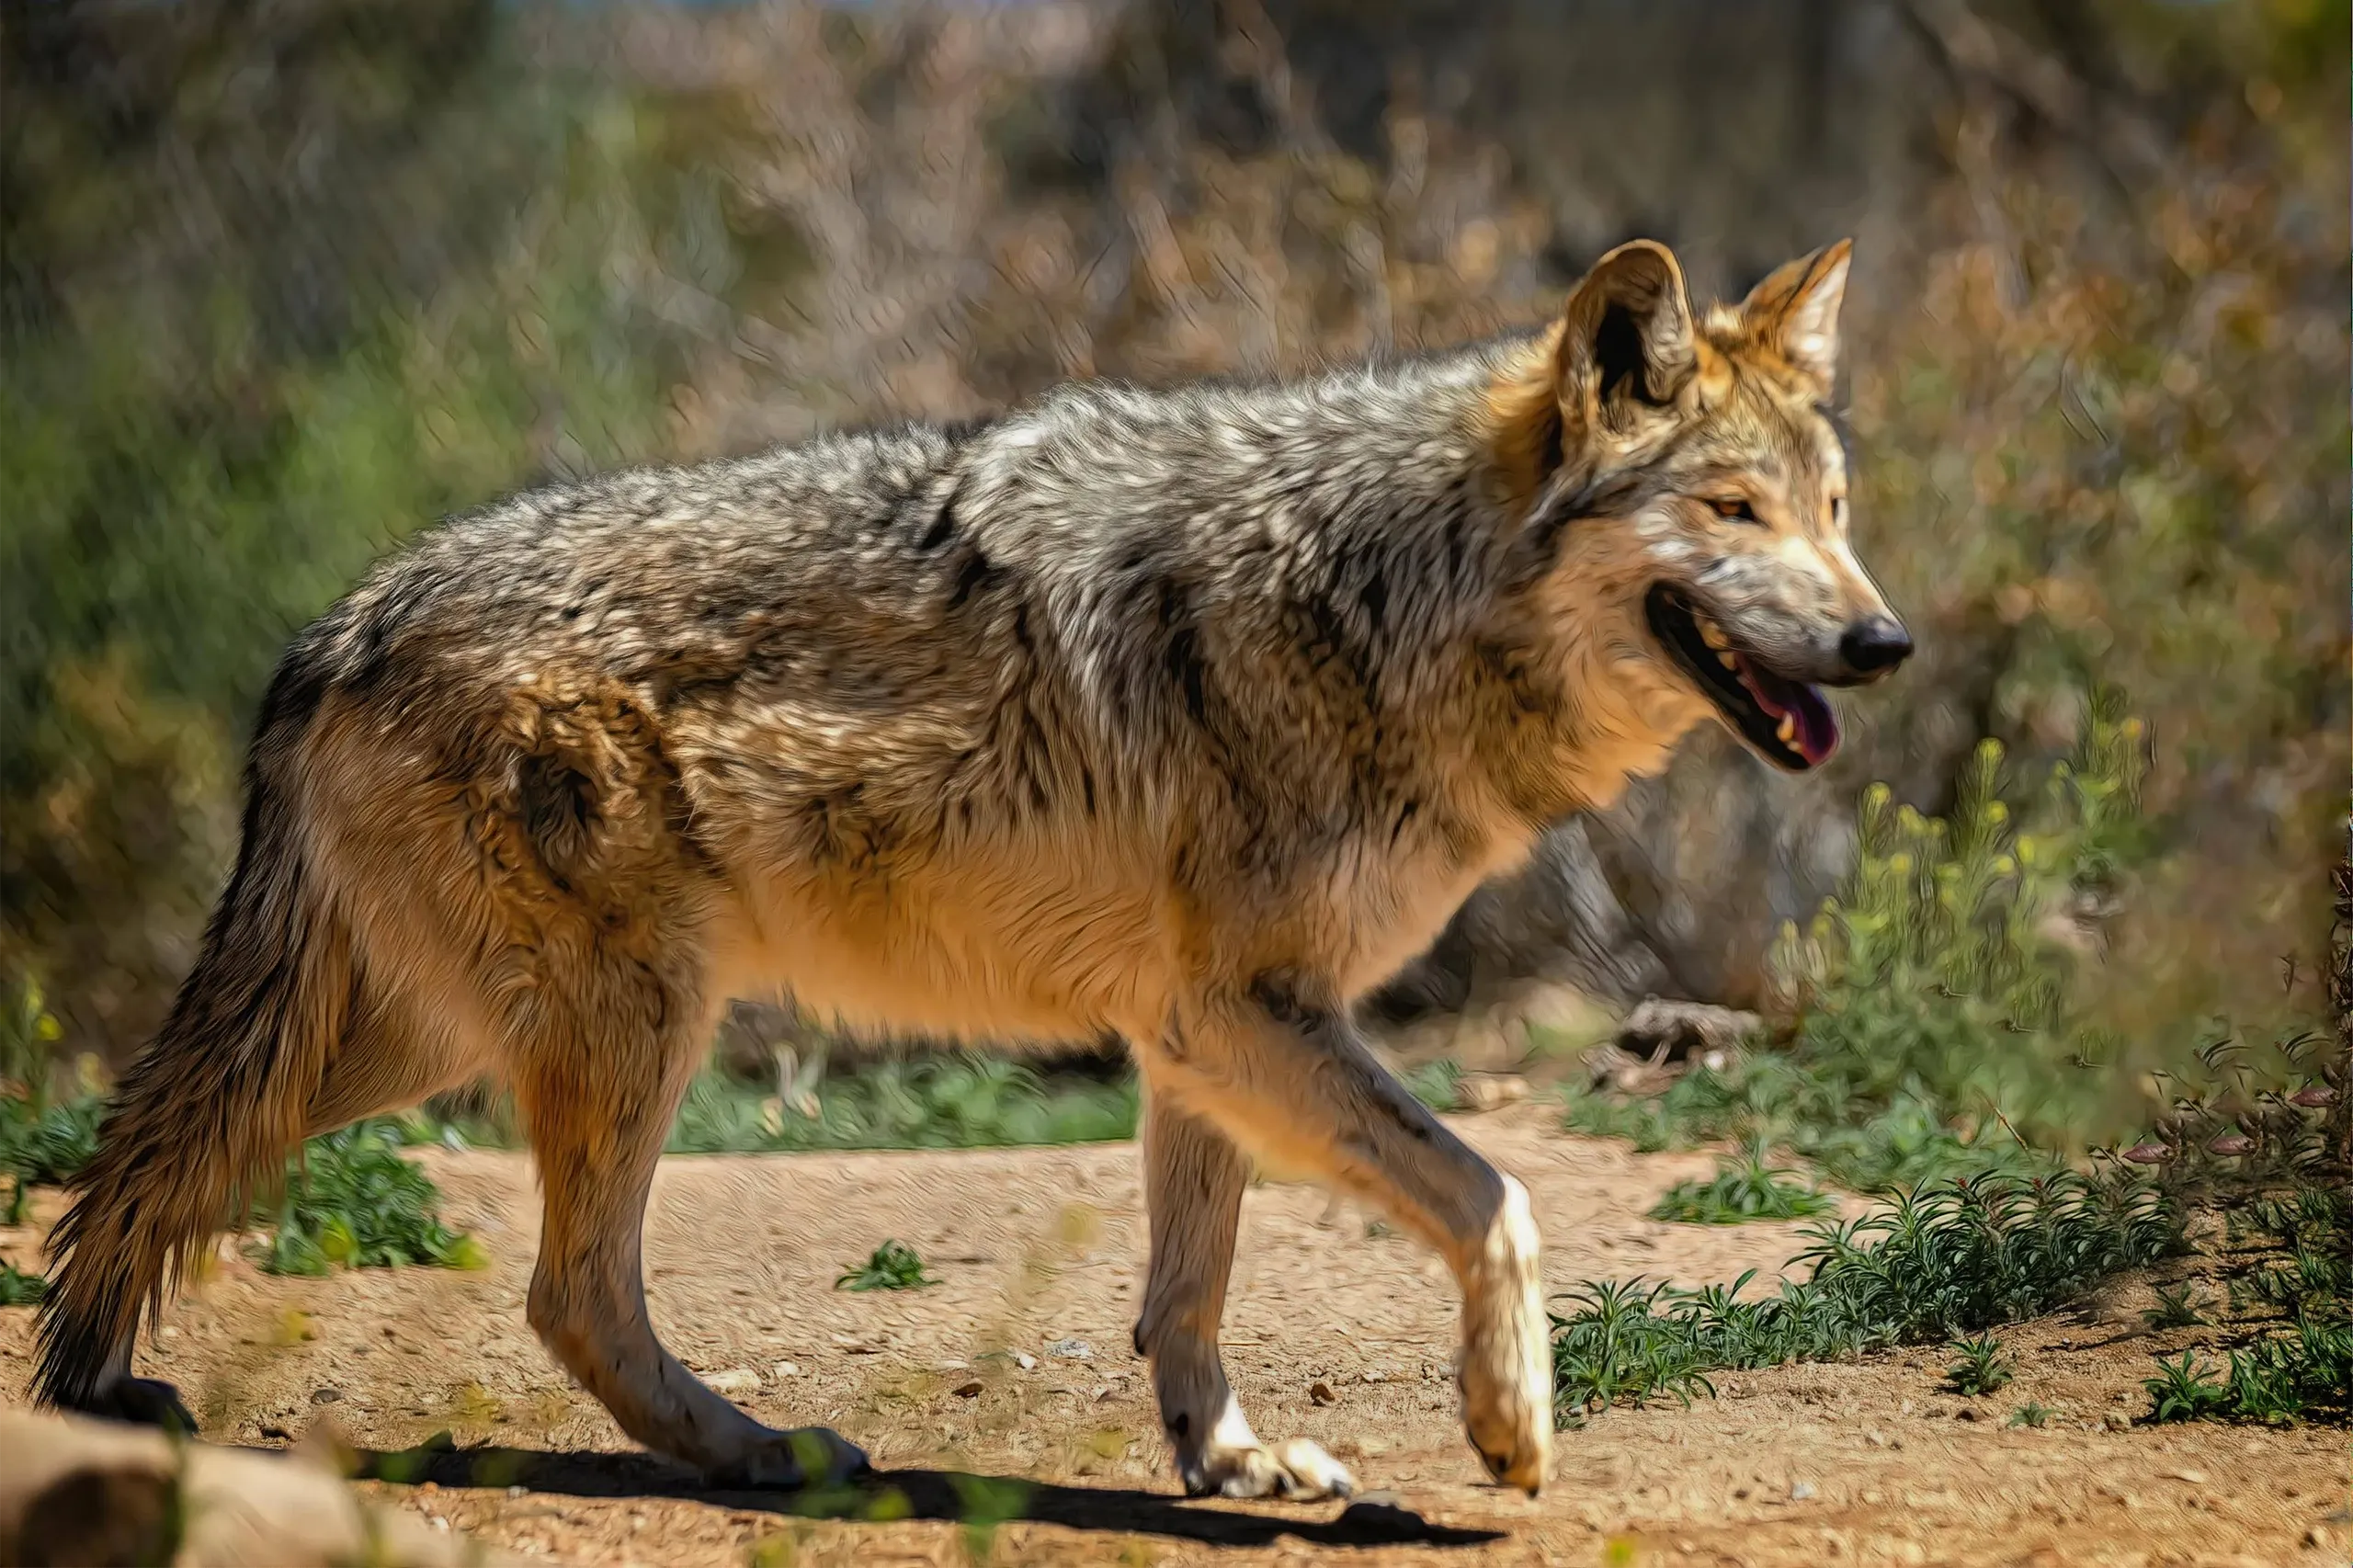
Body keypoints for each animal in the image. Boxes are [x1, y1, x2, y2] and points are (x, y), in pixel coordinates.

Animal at [34, 237, 1907, 1501]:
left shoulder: (1199, 1033)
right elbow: (1497, 1199)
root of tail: (336, 623)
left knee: (158, 1161)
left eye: (1831, 508)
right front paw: (1509, 1428)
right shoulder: (1247, 1013)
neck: (1391, 593)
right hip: (617, 1027)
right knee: (559, 1290)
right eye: (1732, 511)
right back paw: (754, 1450)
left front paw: (1227, 1463)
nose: (1884, 642)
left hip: (425, 1037)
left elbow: (1188, 1290)